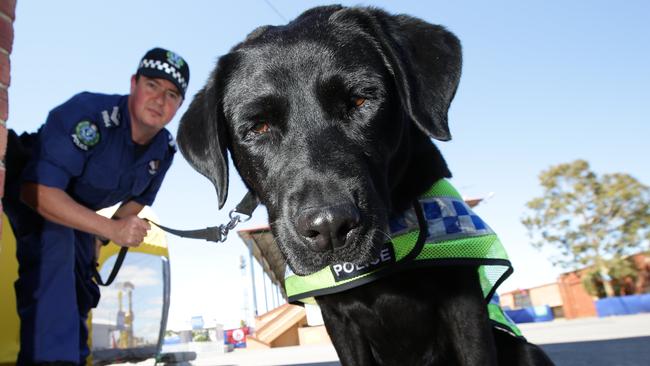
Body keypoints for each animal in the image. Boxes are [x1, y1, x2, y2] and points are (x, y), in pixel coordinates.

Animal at [177, 5, 552, 366]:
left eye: (360, 101)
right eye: (258, 127)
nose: (329, 227)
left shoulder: (464, 303)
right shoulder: (339, 322)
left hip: (530, 351)